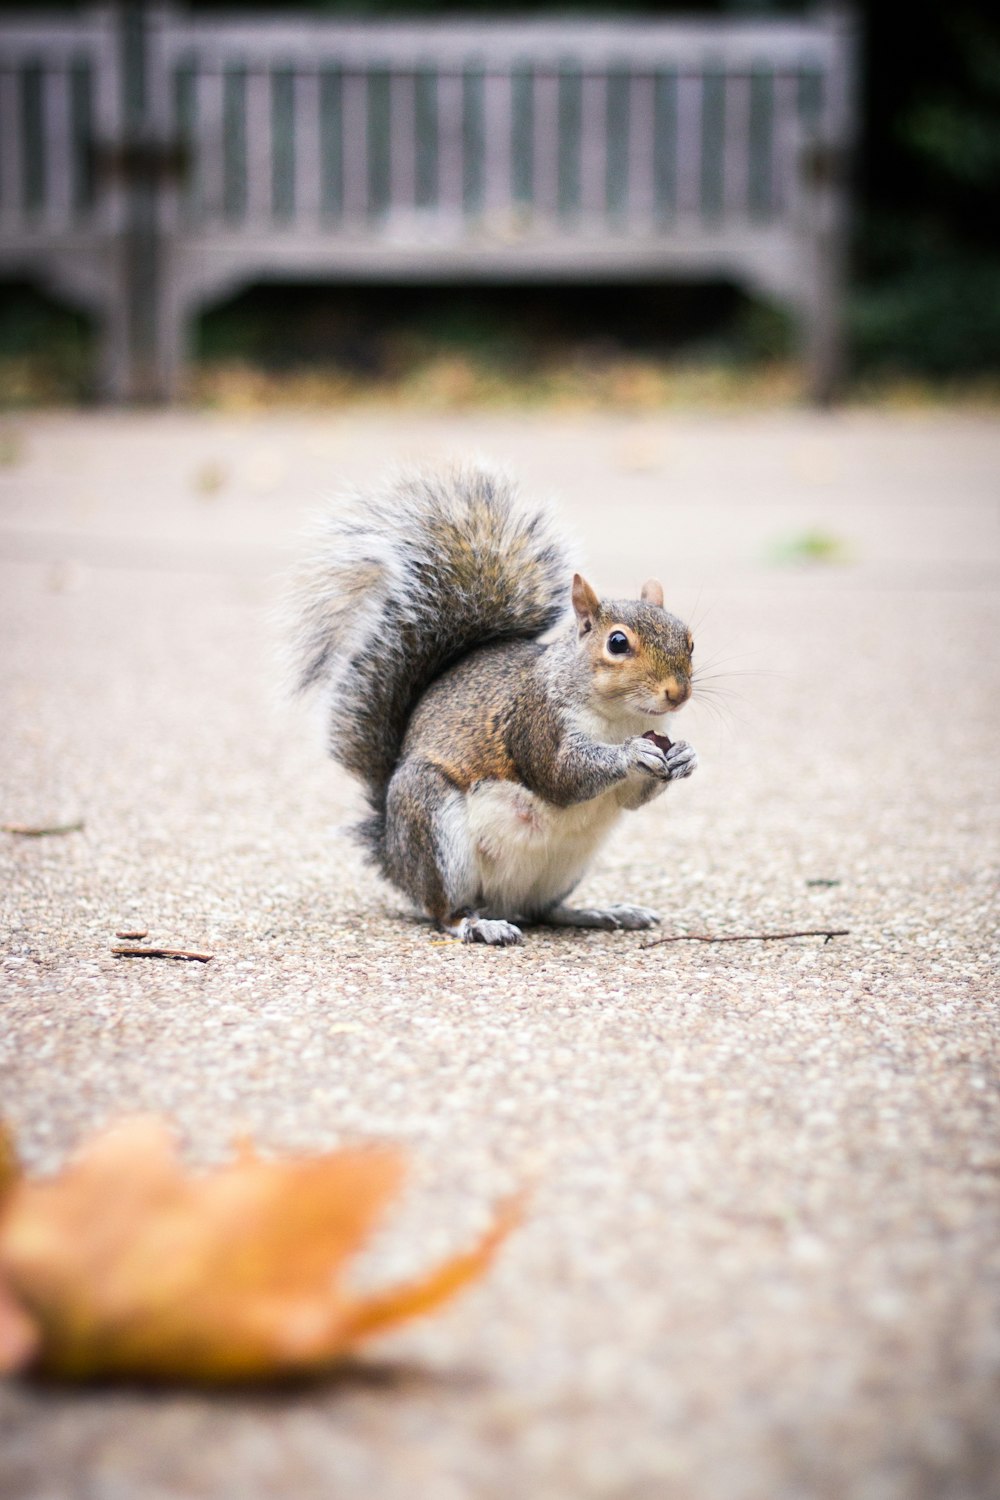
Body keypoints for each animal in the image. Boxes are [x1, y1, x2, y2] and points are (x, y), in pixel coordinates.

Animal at [289, 462, 695, 942]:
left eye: (689, 638)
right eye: (617, 643)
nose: (678, 693)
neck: (619, 718)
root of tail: (394, 857)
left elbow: (632, 798)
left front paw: (685, 756)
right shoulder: (535, 720)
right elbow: (561, 775)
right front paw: (630, 754)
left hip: (566, 866)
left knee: (544, 909)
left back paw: (598, 912)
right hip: (434, 827)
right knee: (444, 911)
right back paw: (479, 924)